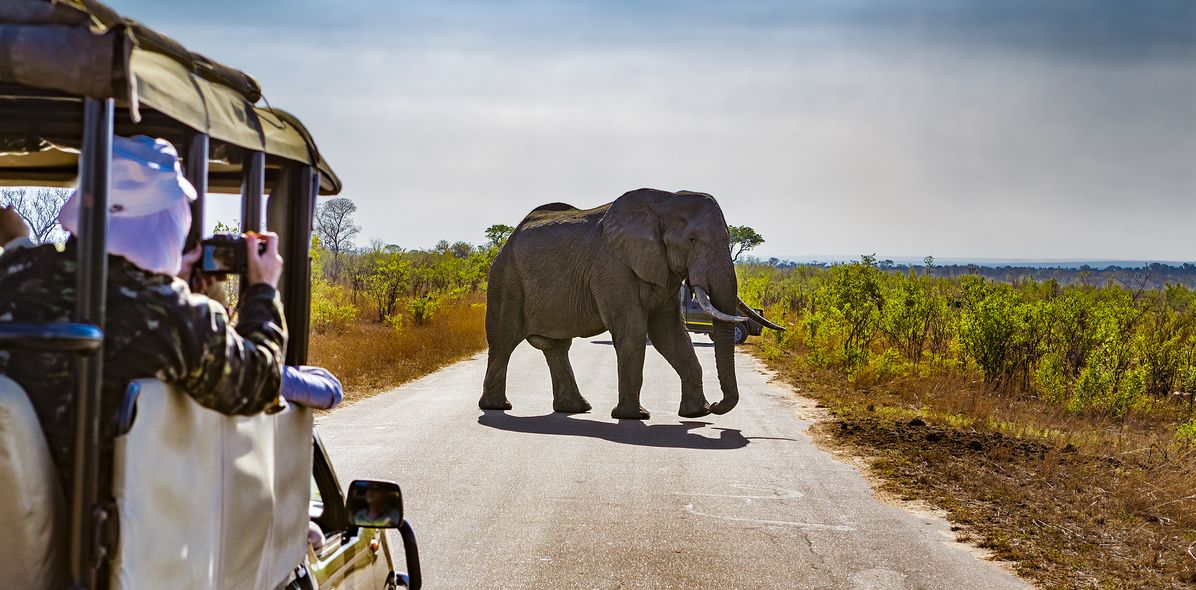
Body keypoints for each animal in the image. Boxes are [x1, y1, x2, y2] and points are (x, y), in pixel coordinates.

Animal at [478, 188, 783, 420]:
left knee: (556, 347)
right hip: (505, 279)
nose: (719, 406)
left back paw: (576, 409)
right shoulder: (613, 267)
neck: (665, 202)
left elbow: (670, 334)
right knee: (504, 340)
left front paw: (697, 413)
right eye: (692, 240)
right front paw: (634, 416)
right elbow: (633, 330)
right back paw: (497, 407)